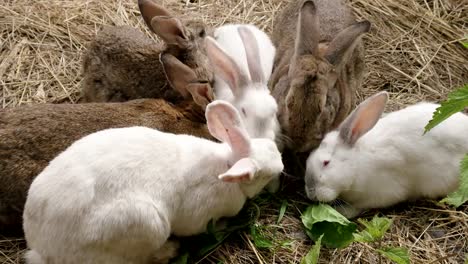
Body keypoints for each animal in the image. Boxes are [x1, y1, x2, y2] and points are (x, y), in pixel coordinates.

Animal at [23, 99, 284, 264]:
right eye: (264, 174)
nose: (282, 164)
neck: (226, 165)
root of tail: (42, 247)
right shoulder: (199, 218)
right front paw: (221, 225)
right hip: (147, 225)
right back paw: (169, 250)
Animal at [306, 92, 466, 218]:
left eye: (326, 163)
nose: (310, 191)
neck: (356, 164)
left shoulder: (382, 194)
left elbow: (359, 207)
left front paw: (343, 212)